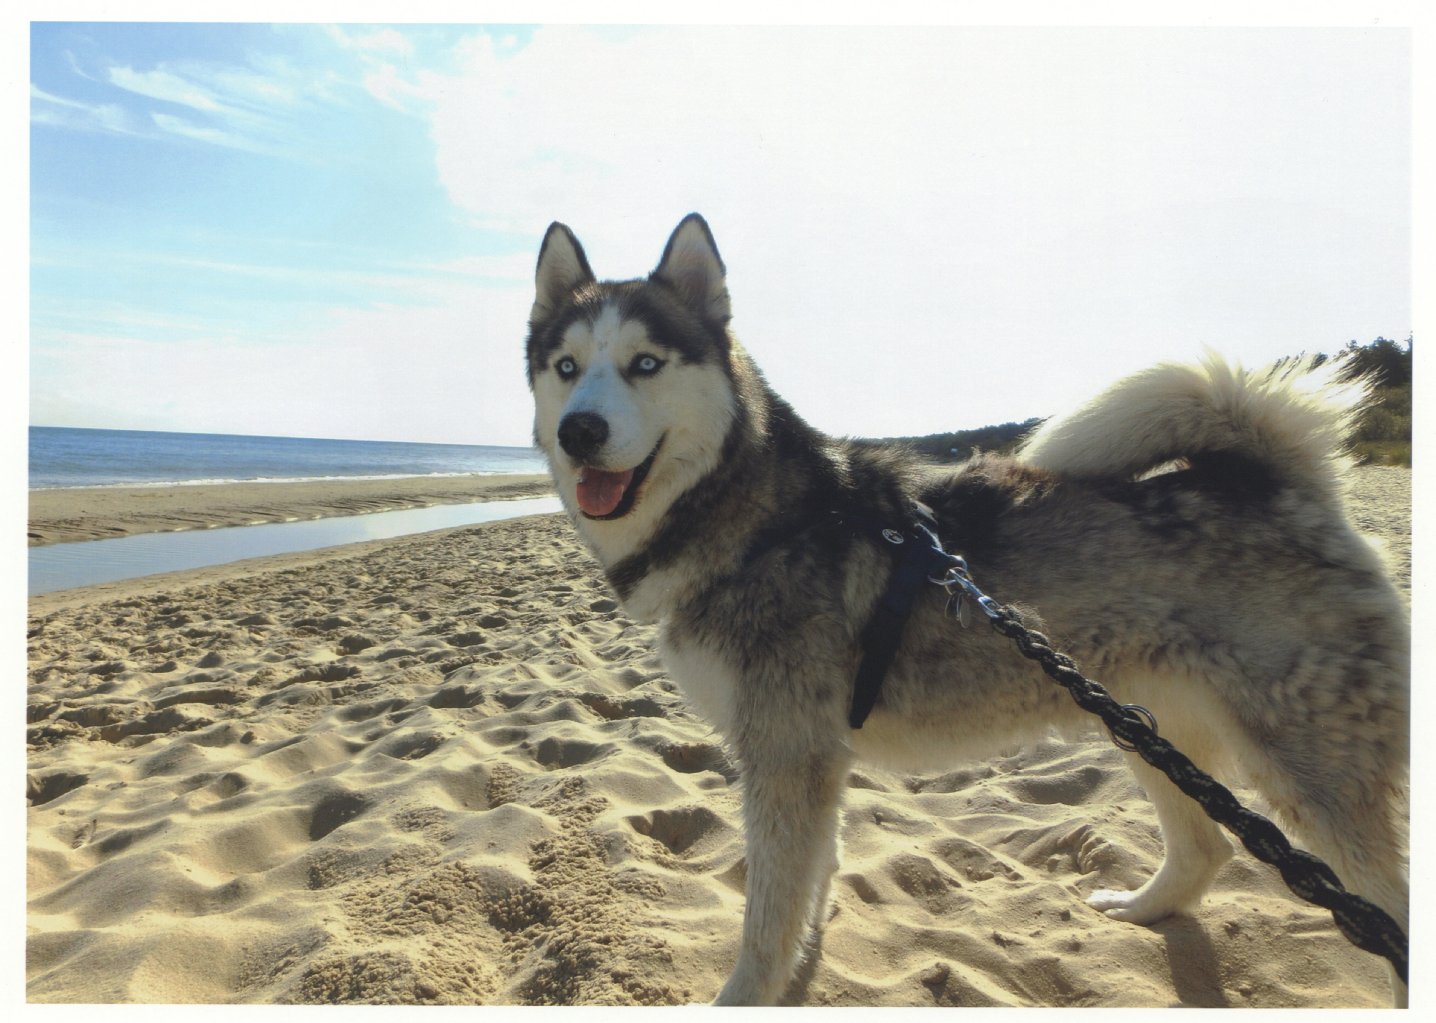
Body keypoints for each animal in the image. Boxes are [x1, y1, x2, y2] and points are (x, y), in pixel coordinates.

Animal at [524, 214, 1409, 1006]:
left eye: (644, 363)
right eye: (566, 366)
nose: (579, 431)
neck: (752, 513)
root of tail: (1282, 482)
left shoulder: (784, 753)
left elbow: (766, 919)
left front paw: (748, 992)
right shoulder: (813, 756)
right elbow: (809, 883)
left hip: (1307, 767)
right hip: (1147, 724)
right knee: (1206, 847)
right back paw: (1144, 907)